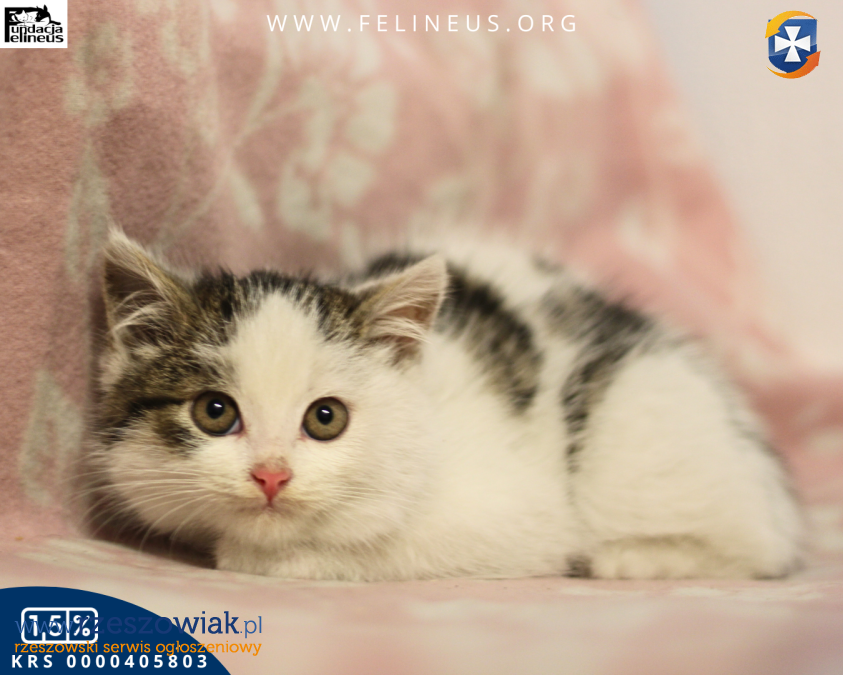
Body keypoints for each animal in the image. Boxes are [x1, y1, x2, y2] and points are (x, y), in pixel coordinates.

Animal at [84, 230, 803, 581]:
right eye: (214, 412)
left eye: (325, 417)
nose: (271, 475)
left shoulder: (522, 513)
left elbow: (396, 544)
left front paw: (265, 556)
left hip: (641, 425)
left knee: (756, 546)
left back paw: (633, 557)